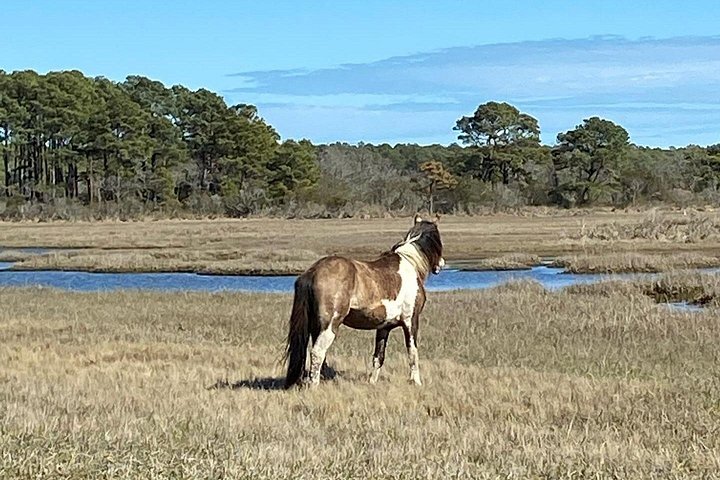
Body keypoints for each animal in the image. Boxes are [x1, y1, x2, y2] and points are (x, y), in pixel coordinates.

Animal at [284, 214, 444, 388]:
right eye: (439, 237)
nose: (441, 264)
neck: (410, 265)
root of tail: (312, 271)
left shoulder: (384, 327)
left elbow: (378, 356)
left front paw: (372, 382)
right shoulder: (411, 321)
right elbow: (412, 353)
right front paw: (416, 382)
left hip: (315, 327)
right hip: (329, 325)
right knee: (317, 352)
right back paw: (314, 386)